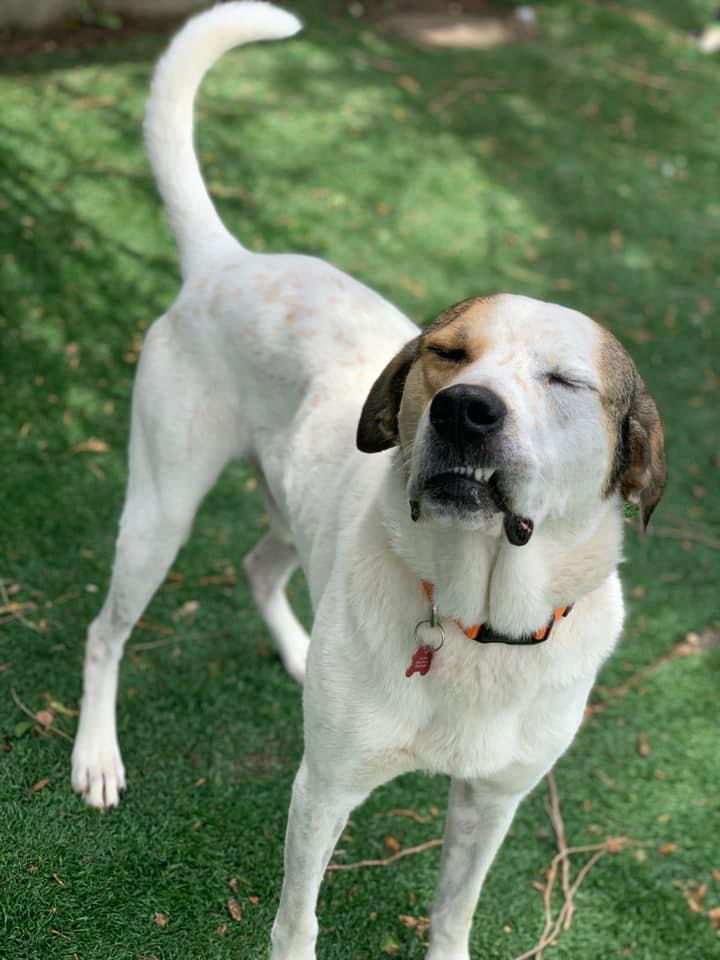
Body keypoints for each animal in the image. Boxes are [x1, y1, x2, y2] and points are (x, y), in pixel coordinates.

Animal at [70, 3, 668, 956]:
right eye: (447, 353)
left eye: (564, 381)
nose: (465, 410)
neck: (476, 618)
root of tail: (227, 260)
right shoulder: (324, 789)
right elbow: (297, 922)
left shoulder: (492, 802)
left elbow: (455, 911)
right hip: (159, 510)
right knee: (106, 632)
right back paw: (95, 756)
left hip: (289, 505)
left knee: (259, 565)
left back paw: (298, 648)